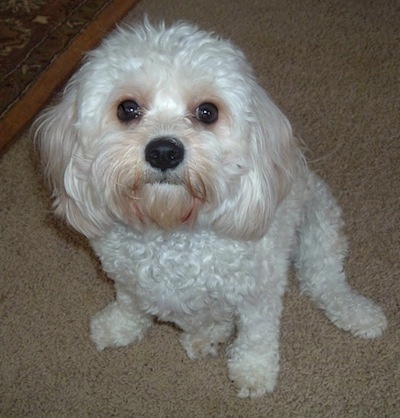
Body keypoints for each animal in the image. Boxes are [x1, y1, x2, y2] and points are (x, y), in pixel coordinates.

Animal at [35, 20, 388, 398]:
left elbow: (257, 333)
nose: (164, 152)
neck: (172, 230)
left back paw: (357, 313)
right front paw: (119, 325)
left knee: (325, 280)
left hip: (317, 227)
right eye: (127, 108)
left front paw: (254, 370)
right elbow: (130, 302)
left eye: (207, 111)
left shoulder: (258, 291)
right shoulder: (127, 278)